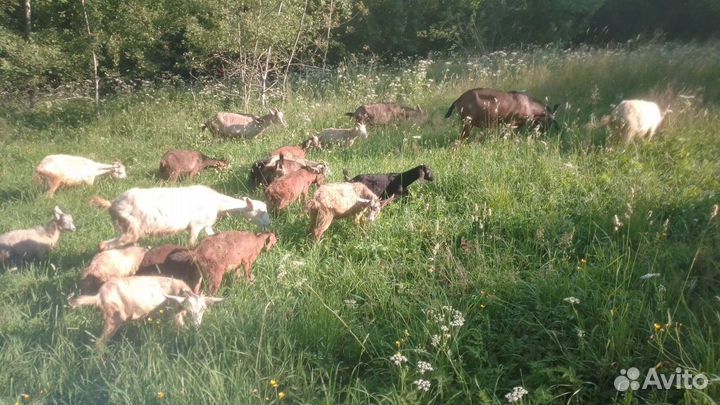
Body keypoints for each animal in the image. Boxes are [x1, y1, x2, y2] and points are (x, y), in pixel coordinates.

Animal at [69, 276, 223, 345]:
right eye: (188, 309)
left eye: (203, 309)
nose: (196, 327)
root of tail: (98, 296)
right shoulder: (174, 314)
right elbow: (181, 328)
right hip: (113, 318)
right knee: (99, 343)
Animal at [89, 185, 271, 251]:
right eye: (261, 211)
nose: (269, 224)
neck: (218, 204)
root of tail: (111, 205)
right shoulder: (196, 225)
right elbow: (191, 244)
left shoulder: (206, 224)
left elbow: (212, 236)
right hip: (130, 225)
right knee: (104, 245)